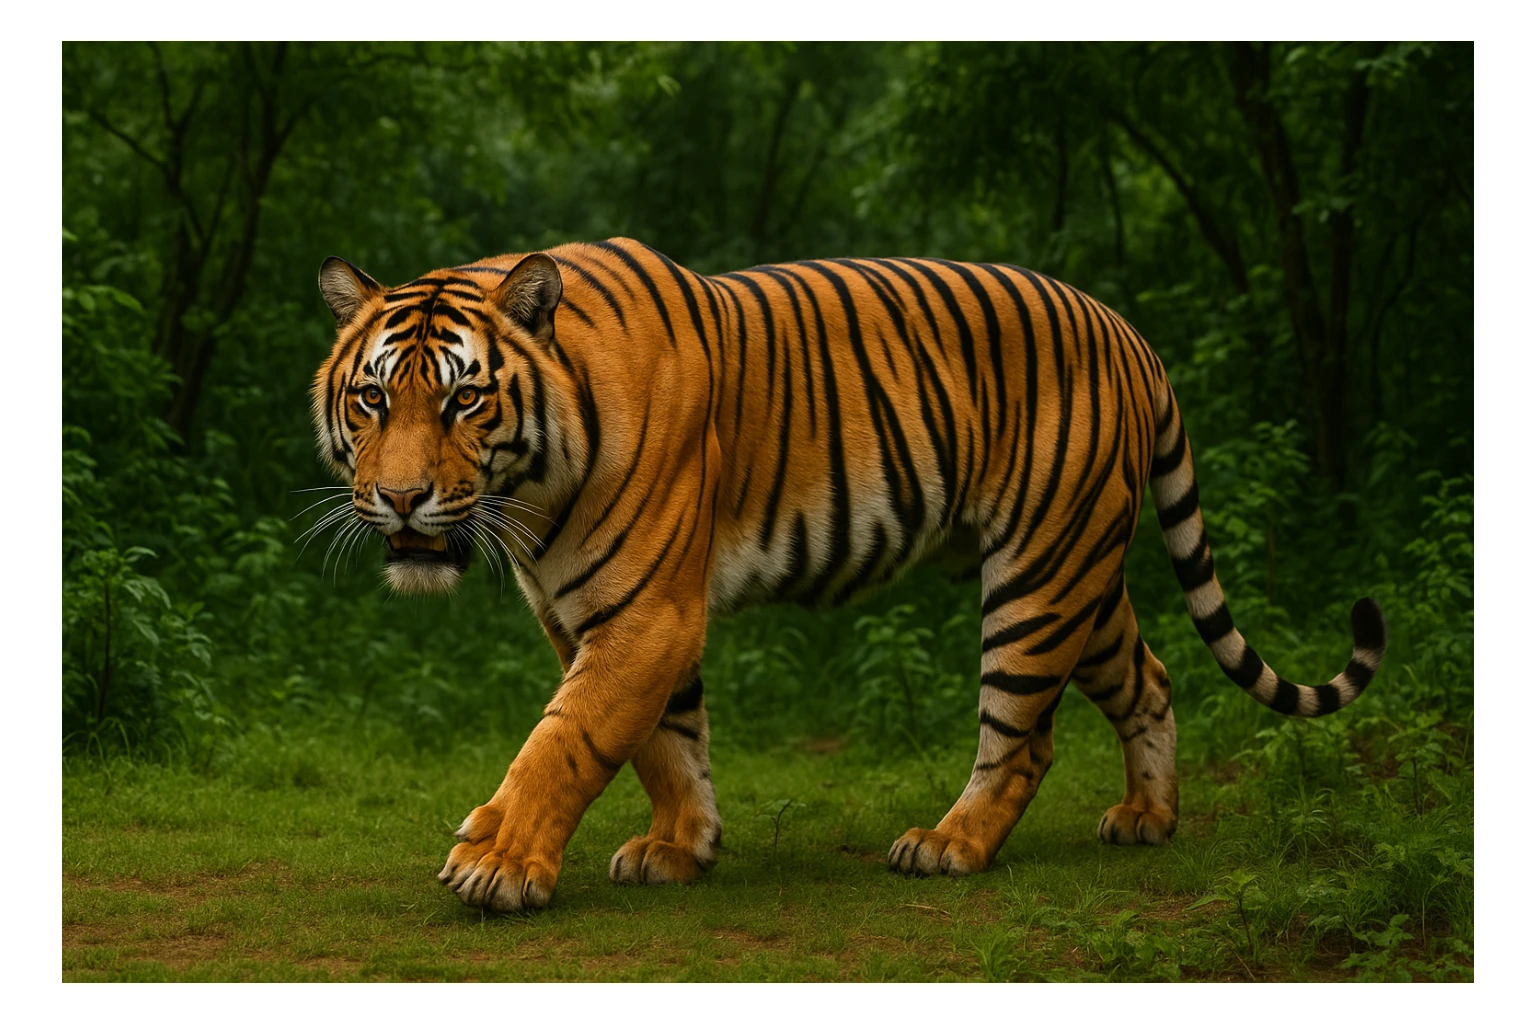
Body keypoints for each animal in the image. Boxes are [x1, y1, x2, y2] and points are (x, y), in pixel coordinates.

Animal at [311, 238, 1386, 913]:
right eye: (372, 400)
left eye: (463, 401)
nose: (401, 500)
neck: (531, 487)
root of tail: (1130, 333)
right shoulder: (596, 612)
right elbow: (665, 741)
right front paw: (680, 848)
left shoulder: (646, 610)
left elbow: (567, 739)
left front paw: (497, 863)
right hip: (1083, 571)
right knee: (1150, 680)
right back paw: (1146, 819)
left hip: (1039, 580)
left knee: (1023, 736)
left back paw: (949, 847)